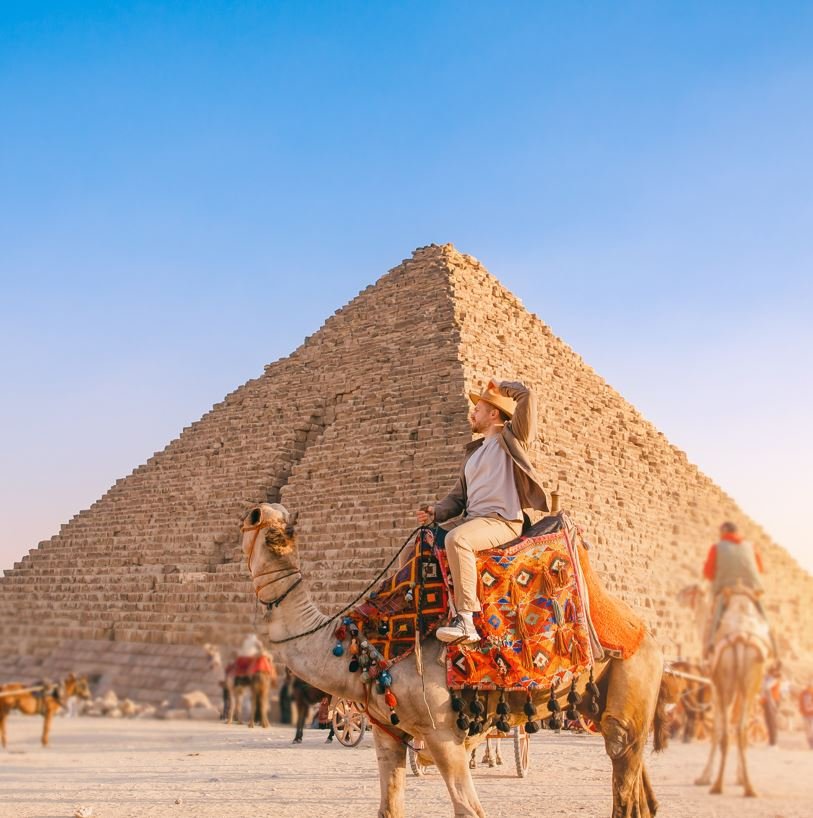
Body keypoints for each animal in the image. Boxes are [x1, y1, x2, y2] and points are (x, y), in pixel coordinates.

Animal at [241, 504, 672, 816]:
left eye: (256, 519)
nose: (256, 510)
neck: (364, 646)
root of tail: (644, 630)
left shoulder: (444, 734)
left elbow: (469, 810)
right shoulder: (387, 733)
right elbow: (389, 809)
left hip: (634, 674)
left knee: (622, 762)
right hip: (599, 697)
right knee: (640, 789)